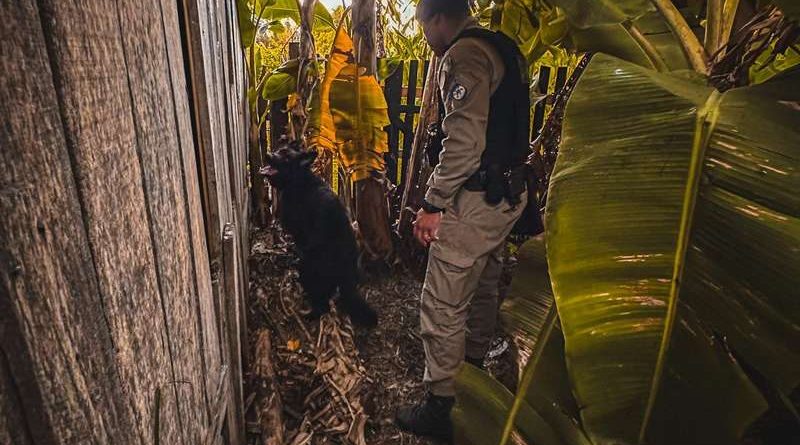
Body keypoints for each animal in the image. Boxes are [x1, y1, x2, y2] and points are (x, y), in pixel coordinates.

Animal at [260, 142, 376, 326]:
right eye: (279, 150)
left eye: (286, 157)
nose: (268, 154)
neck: (299, 179)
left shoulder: (299, 234)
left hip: (308, 270)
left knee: (323, 305)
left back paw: (309, 314)